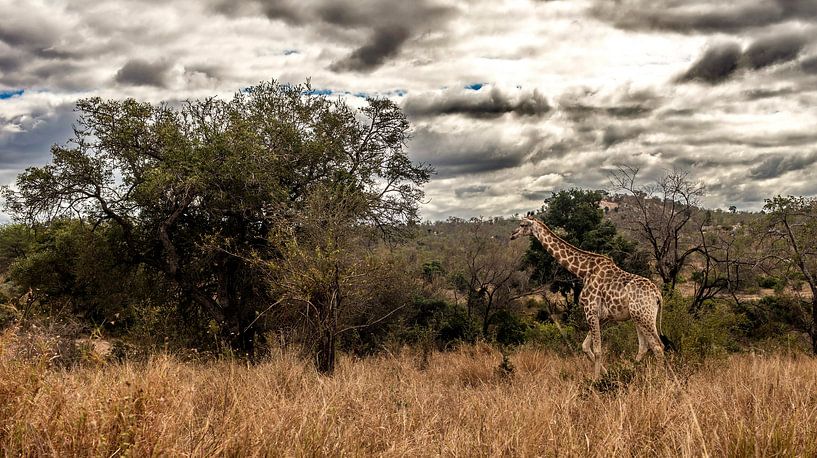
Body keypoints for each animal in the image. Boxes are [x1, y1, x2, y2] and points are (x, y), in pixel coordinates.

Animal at [510, 216, 664, 378]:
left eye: (522, 224)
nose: (512, 234)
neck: (584, 271)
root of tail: (658, 295)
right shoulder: (602, 316)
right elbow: (585, 346)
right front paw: (606, 373)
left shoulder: (590, 311)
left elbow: (597, 350)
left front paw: (596, 380)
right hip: (638, 317)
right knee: (645, 346)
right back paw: (630, 373)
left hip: (643, 316)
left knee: (658, 346)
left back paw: (657, 377)